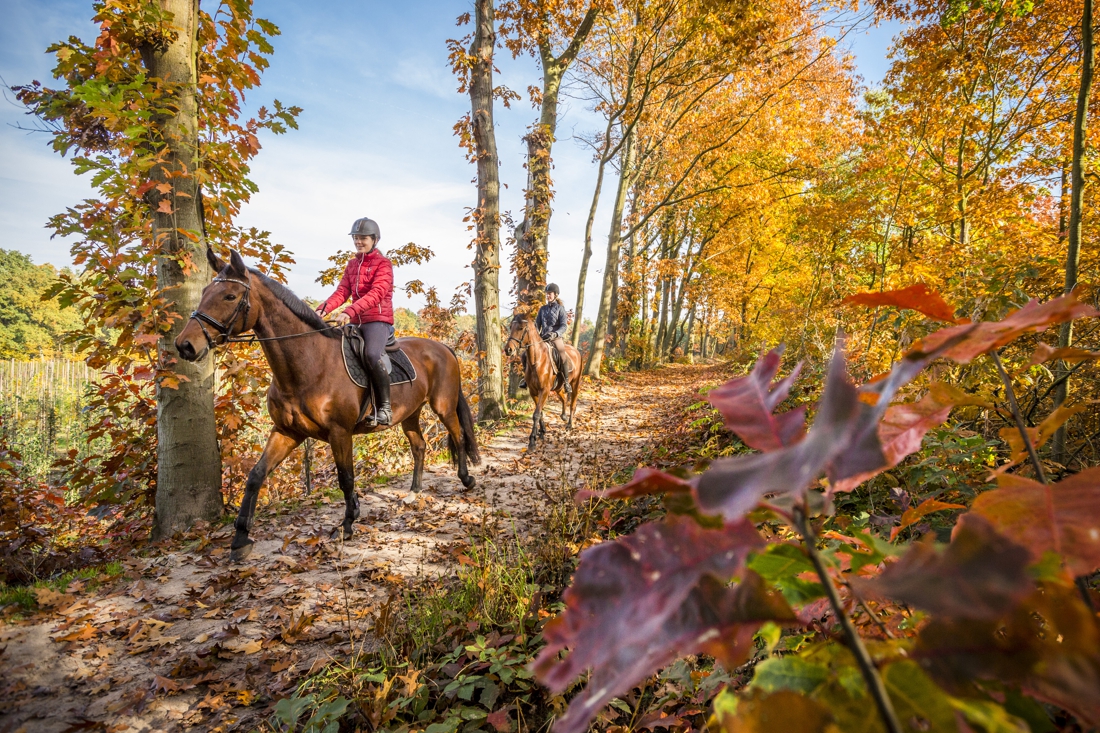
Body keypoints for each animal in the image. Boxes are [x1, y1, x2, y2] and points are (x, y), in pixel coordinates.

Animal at [175, 248, 480, 562]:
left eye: (230, 296)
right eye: (205, 292)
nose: (184, 345)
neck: (309, 364)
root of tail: (443, 348)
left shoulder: (339, 432)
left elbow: (345, 478)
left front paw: (347, 524)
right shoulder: (287, 432)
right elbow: (256, 476)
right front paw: (239, 540)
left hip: (443, 406)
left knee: (458, 436)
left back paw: (466, 479)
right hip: (409, 413)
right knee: (419, 446)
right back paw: (414, 492)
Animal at [504, 312, 582, 451]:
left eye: (521, 328)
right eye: (510, 326)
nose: (508, 349)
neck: (537, 361)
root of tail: (576, 351)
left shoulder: (544, 390)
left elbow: (536, 414)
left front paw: (532, 442)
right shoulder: (533, 391)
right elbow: (539, 413)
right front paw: (542, 432)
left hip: (575, 383)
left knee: (572, 403)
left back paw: (569, 424)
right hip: (558, 387)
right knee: (563, 398)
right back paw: (563, 416)